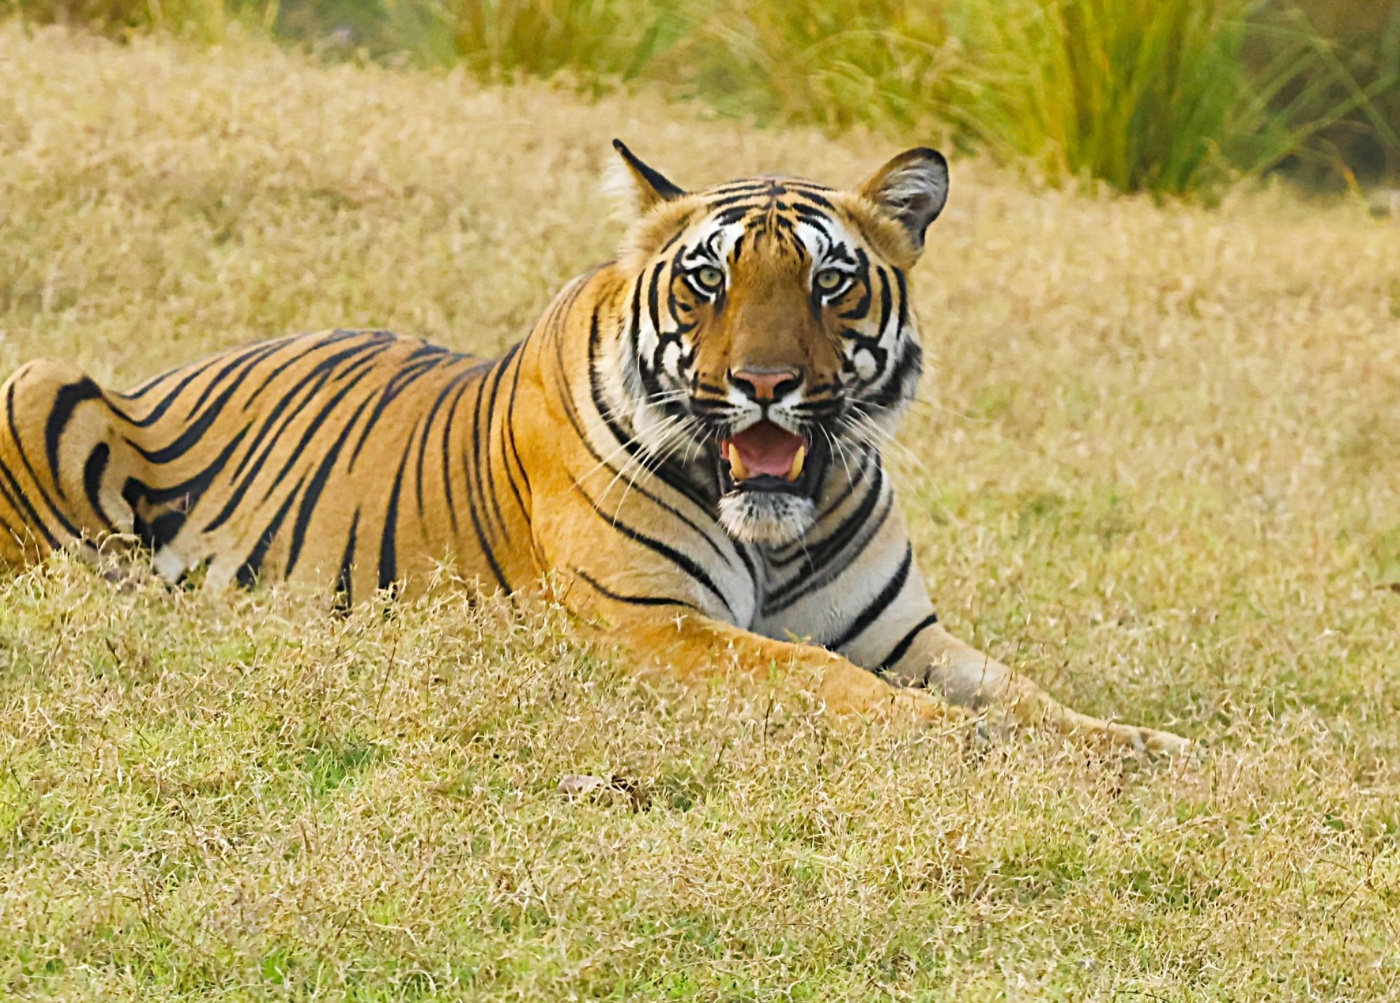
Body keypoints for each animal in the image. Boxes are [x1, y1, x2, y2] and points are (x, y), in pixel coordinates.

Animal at [0, 142, 1190, 754]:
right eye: (708, 281)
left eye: (829, 281)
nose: (767, 384)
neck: (776, 530)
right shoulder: (649, 625)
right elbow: (817, 676)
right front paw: (951, 741)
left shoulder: (908, 635)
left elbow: (1029, 694)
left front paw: (1150, 751)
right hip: (44, 382)